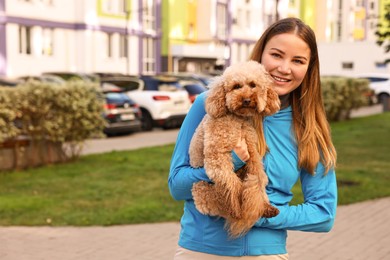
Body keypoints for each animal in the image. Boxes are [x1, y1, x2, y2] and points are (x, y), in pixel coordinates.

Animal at [189, 60, 280, 238]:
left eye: (253, 85)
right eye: (236, 86)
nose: (246, 100)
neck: (238, 119)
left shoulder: (252, 155)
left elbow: (259, 179)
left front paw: (264, 204)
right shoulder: (218, 157)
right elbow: (231, 183)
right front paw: (238, 208)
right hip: (205, 189)